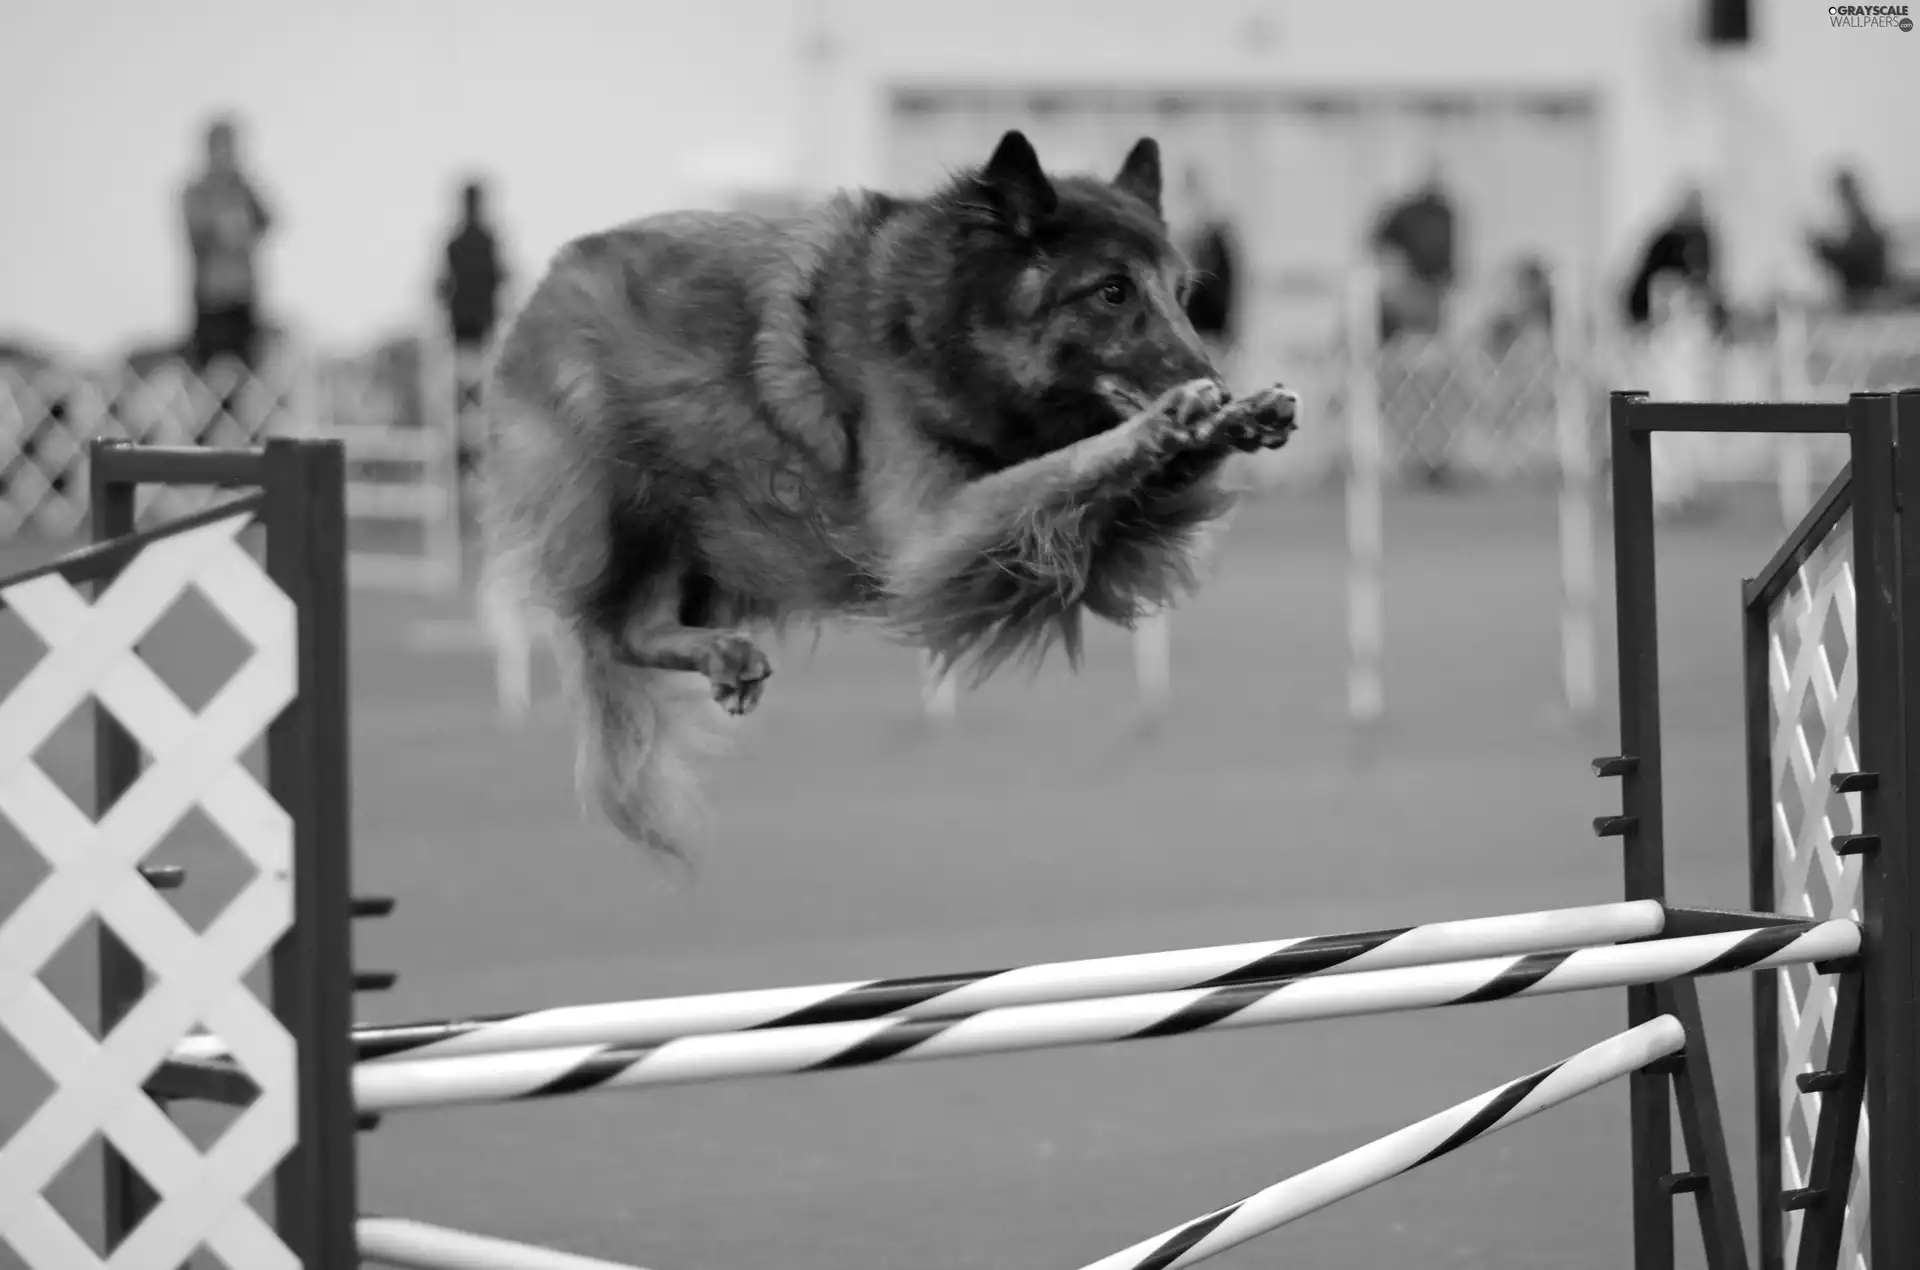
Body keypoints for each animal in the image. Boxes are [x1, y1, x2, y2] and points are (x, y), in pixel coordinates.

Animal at [472, 128, 1297, 853]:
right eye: (1113, 292)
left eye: (1183, 294)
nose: (1218, 380)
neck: (945, 329)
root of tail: (542, 289)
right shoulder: (936, 535)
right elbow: (1069, 466)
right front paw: (1167, 422)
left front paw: (1232, 419)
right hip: (632, 506)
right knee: (604, 629)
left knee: (636, 626)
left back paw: (722, 655)